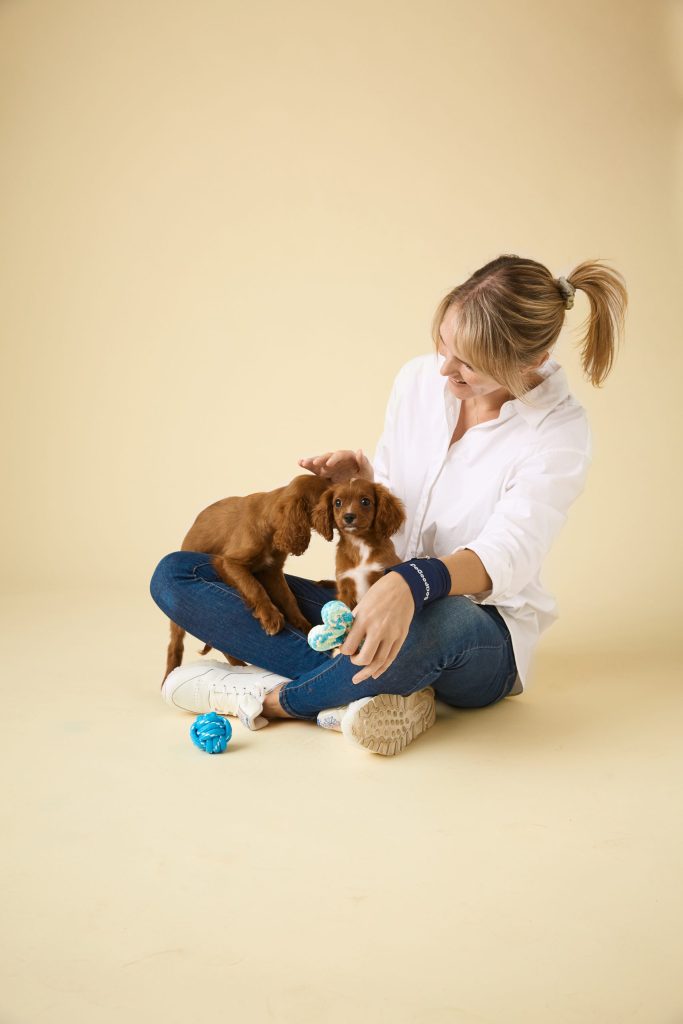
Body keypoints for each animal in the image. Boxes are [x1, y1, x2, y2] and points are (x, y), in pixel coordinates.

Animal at [162, 473, 327, 684]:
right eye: (328, 496)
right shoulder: (230, 563)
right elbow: (255, 587)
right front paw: (271, 618)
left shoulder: (272, 571)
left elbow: (288, 598)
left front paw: (302, 624)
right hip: (177, 620)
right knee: (175, 645)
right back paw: (170, 675)